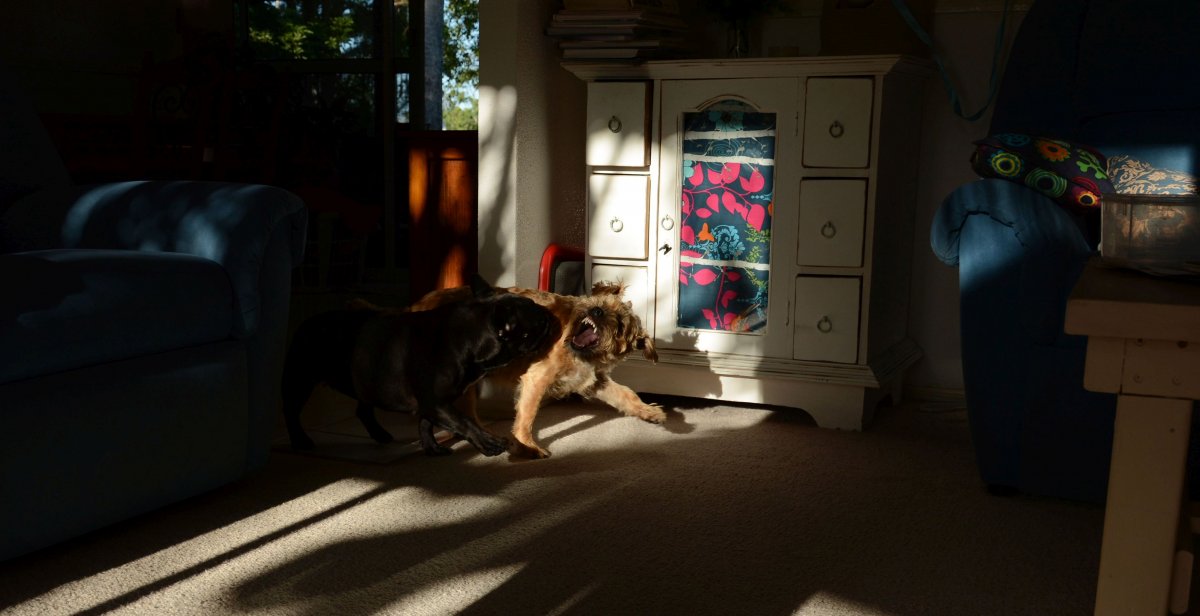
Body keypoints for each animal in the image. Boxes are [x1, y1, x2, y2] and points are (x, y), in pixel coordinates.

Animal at [281, 275, 558, 456]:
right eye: (538, 320)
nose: (550, 315)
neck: (467, 337)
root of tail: (305, 324)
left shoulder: (432, 403)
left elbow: (426, 424)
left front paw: (432, 448)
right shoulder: (436, 401)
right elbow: (464, 421)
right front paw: (489, 444)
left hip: (367, 380)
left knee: (364, 409)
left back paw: (380, 434)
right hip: (300, 380)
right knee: (291, 411)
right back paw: (300, 440)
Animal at [410, 280, 664, 459]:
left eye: (620, 325)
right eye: (601, 302)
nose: (596, 311)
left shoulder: (594, 382)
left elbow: (626, 394)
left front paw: (648, 411)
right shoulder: (536, 379)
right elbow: (527, 416)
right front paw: (527, 447)